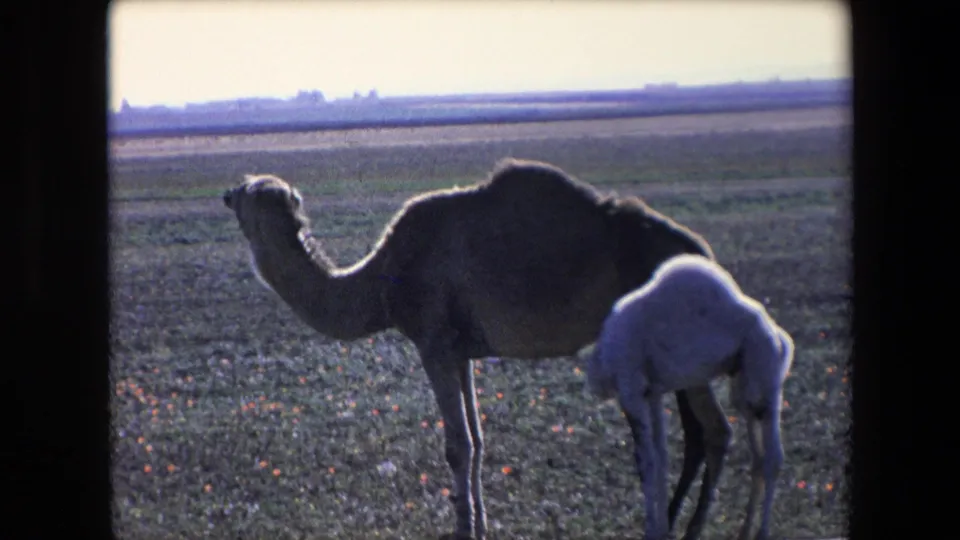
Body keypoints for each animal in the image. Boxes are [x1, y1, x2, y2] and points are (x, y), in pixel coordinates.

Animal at [222, 157, 729, 540]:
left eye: (246, 191)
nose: (227, 192)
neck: (381, 281)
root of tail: (703, 251)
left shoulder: (434, 344)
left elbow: (457, 445)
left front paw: (465, 529)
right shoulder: (461, 351)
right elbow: (479, 440)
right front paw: (481, 524)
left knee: (713, 430)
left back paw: (690, 528)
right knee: (694, 433)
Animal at [587, 254, 795, 540]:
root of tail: (780, 338)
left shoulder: (630, 388)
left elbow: (646, 461)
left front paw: (652, 530)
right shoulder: (652, 392)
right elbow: (661, 457)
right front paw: (661, 528)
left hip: (765, 373)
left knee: (773, 456)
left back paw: (762, 533)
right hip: (745, 385)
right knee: (758, 456)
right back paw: (744, 531)